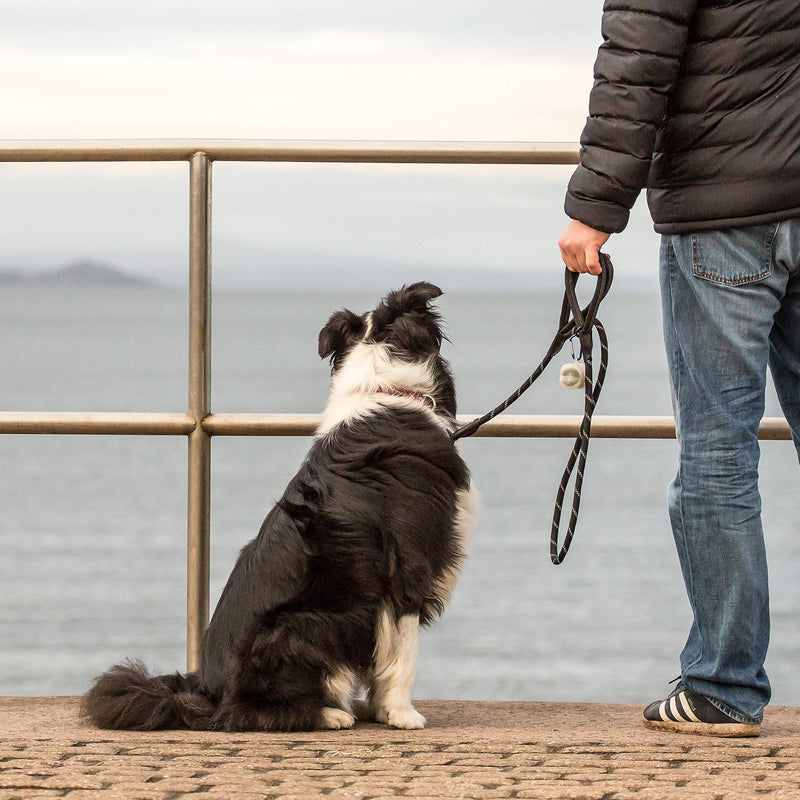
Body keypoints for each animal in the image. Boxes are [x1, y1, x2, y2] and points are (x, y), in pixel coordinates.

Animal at [82, 282, 478, 732]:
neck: (384, 385)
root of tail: (205, 693)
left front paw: (381, 709)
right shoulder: (408, 566)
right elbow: (404, 653)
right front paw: (402, 715)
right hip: (305, 623)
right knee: (249, 711)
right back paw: (330, 713)